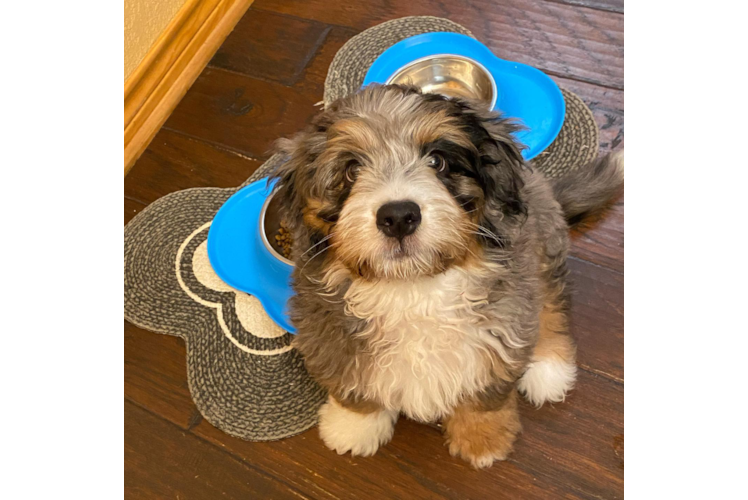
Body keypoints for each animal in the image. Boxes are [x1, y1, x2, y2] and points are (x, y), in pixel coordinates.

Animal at [272, 83, 624, 468]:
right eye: (351, 171)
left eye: (437, 161)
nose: (398, 216)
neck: (414, 288)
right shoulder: (325, 330)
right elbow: (350, 383)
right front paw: (353, 426)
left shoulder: (505, 321)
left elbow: (487, 391)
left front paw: (482, 439)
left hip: (542, 249)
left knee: (551, 303)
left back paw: (549, 367)